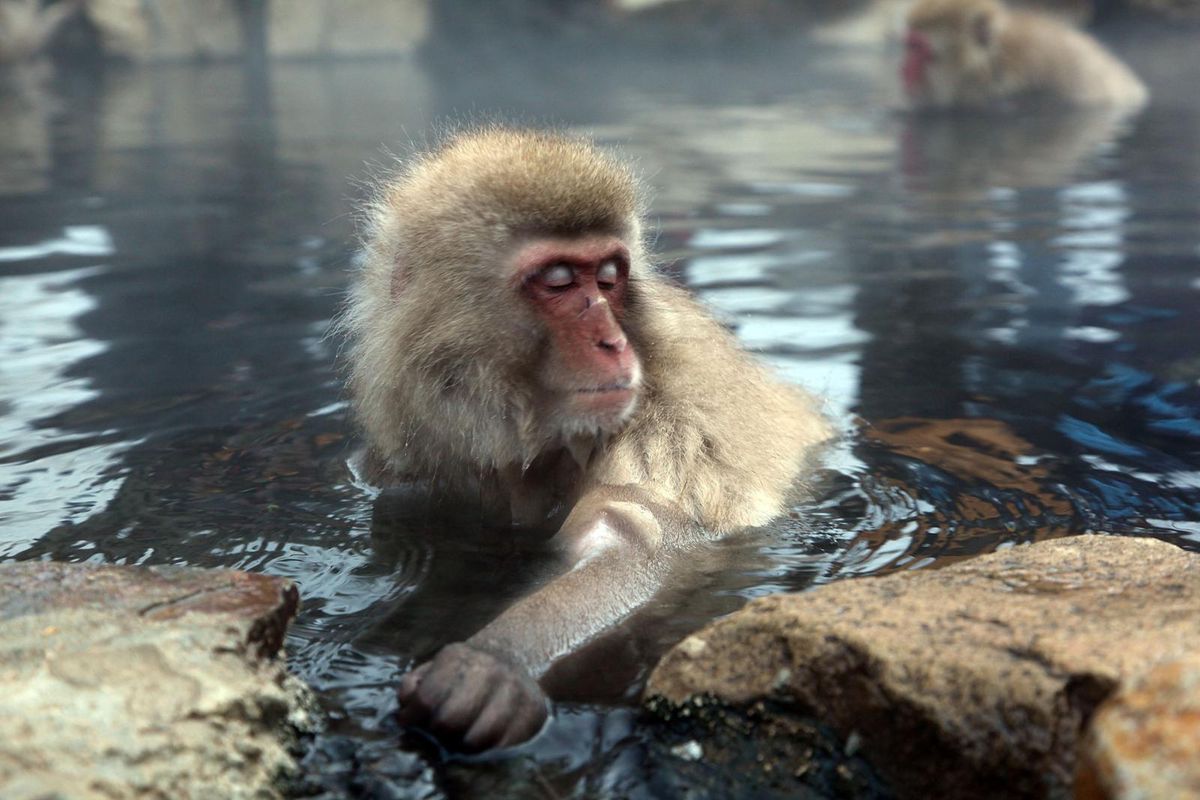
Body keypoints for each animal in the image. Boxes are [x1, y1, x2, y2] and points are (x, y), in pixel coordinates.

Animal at [341, 127, 831, 752]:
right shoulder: (410, 460)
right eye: (558, 281)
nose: (613, 342)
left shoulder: (665, 427)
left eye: (608, 277)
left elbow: (633, 537)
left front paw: (498, 661)